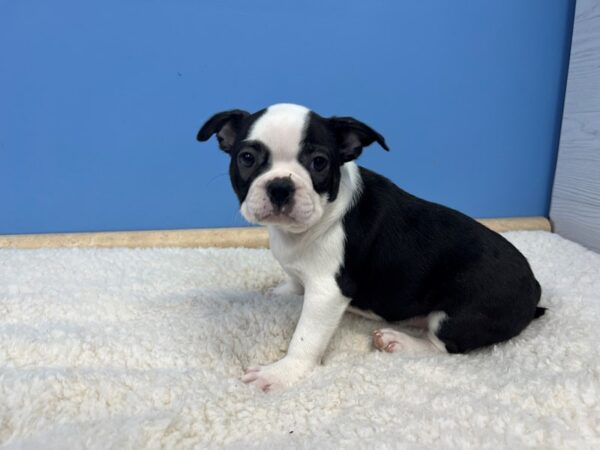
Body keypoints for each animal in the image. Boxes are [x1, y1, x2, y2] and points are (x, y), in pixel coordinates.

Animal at [198, 102, 544, 390]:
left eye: (319, 163)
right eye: (247, 159)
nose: (280, 186)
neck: (303, 229)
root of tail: (534, 289)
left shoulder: (327, 292)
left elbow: (305, 338)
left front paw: (281, 372)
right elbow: (295, 280)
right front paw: (283, 291)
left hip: (458, 317)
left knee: (445, 347)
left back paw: (398, 342)